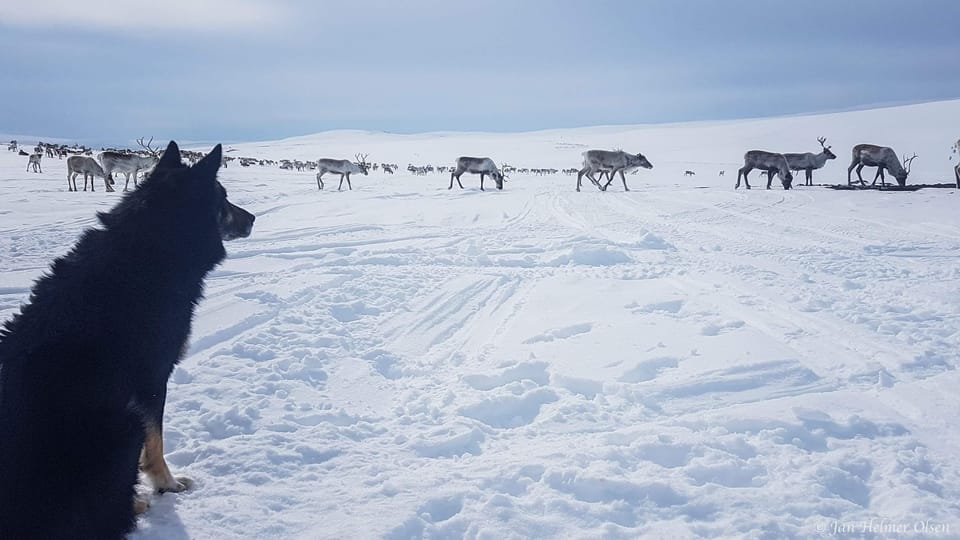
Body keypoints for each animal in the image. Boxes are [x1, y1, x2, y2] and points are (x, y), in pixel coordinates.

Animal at [0, 141, 255, 536]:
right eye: (224, 199)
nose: (253, 218)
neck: (152, 247)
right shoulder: (152, 380)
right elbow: (156, 442)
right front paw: (166, 484)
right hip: (123, 424)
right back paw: (134, 503)